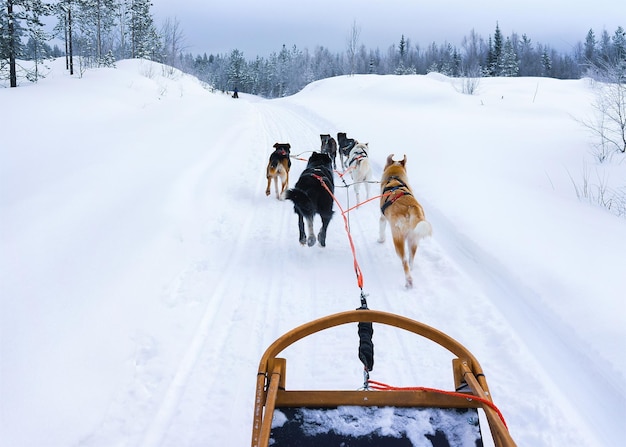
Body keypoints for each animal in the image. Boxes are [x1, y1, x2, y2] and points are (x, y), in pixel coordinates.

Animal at [376, 154, 428, 288]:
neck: (395, 177)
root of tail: (411, 207)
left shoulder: (382, 218)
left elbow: (381, 229)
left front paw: (380, 240)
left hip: (398, 238)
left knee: (404, 261)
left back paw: (408, 281)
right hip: (413, 239)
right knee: (411, 260)